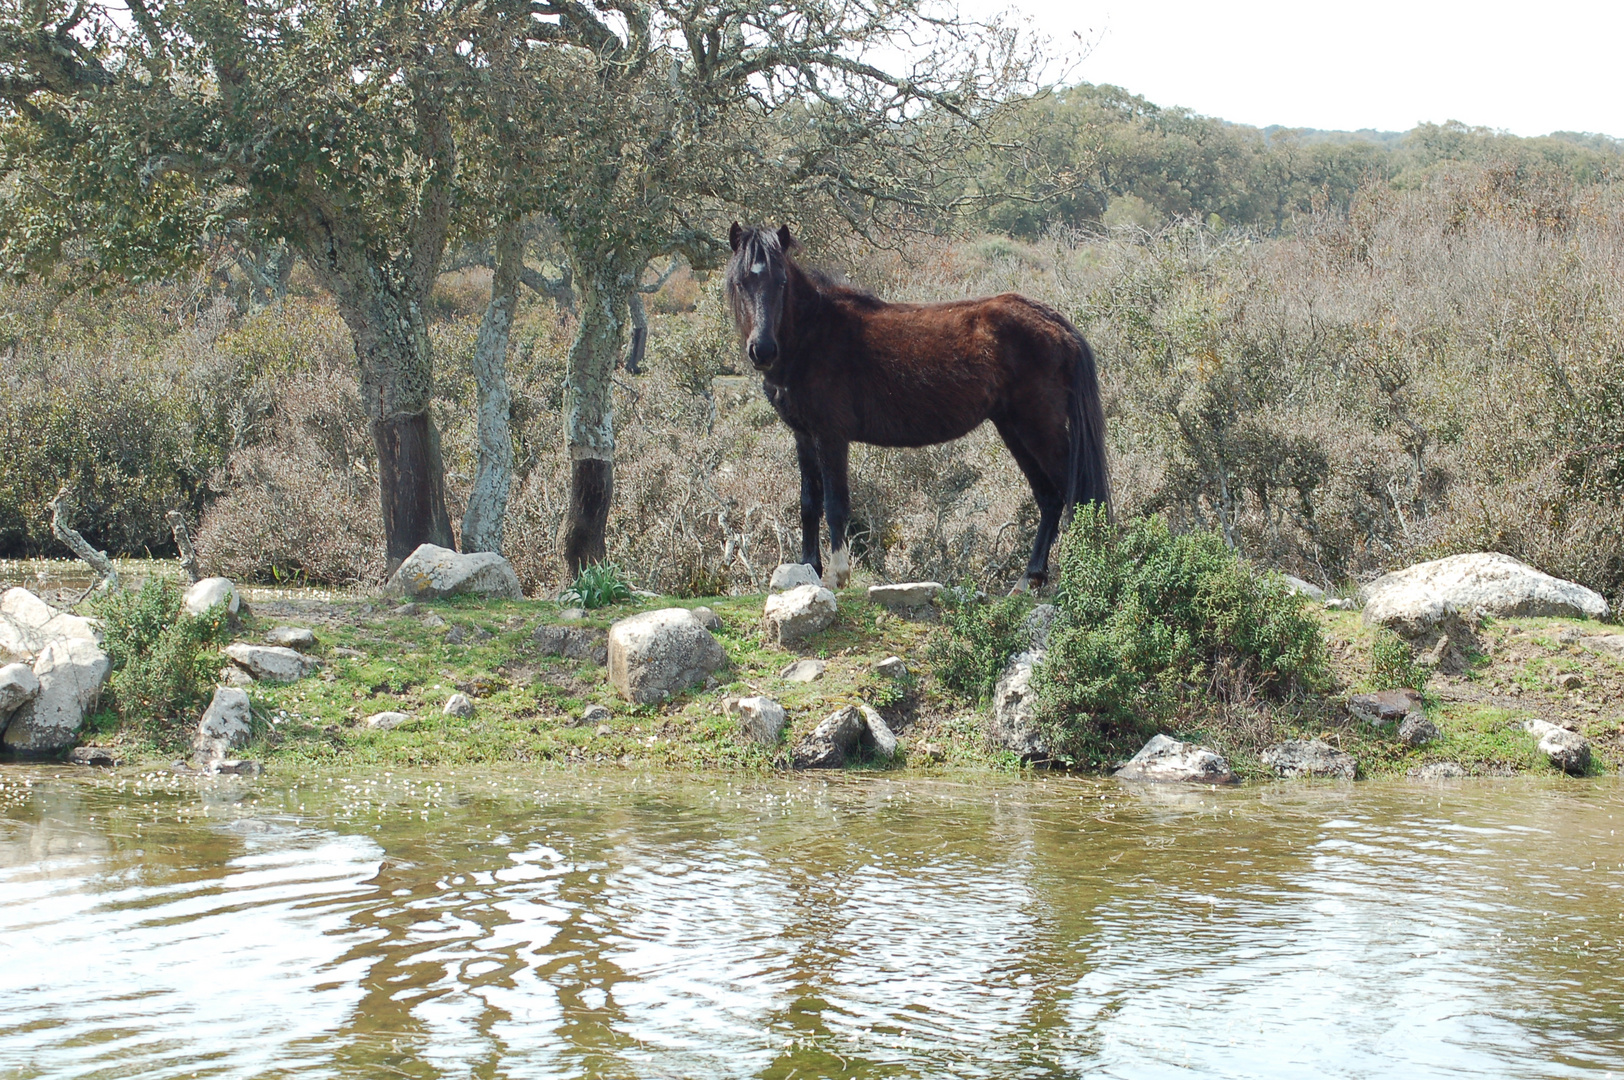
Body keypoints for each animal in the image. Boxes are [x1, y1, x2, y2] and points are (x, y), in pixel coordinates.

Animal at [730, 220, 1110, 591]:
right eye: (740, 282)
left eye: (781, 282)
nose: (763, 350)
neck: (814, 334)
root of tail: (1054, 322)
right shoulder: (804, 436)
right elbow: (809, 503)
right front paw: (809, 566)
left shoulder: (831, 436)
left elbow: (835, 503)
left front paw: (838, 574)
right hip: (1015, 430)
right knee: (1050, 498)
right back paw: (1030, 577)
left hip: (1039, 428)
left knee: (1078, 496)